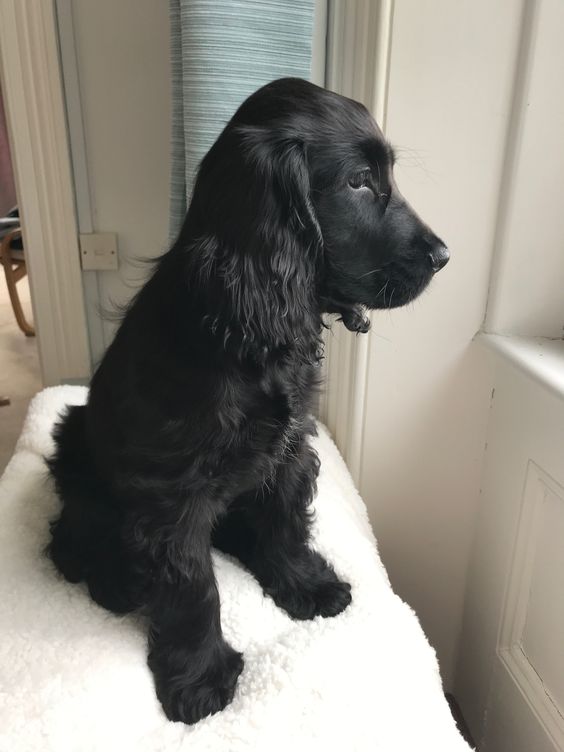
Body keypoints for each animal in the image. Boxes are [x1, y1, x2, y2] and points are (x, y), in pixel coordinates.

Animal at [47, 79, 450, 724]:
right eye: (359, 182)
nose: (443, 256)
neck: (246, 332)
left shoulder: (289, 450)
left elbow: (284, 521)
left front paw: (306, 585)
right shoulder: (173, 496)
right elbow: (193, 589)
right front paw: (201, 678)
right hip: (73, 441)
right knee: (72, 534)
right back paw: (114, 579)